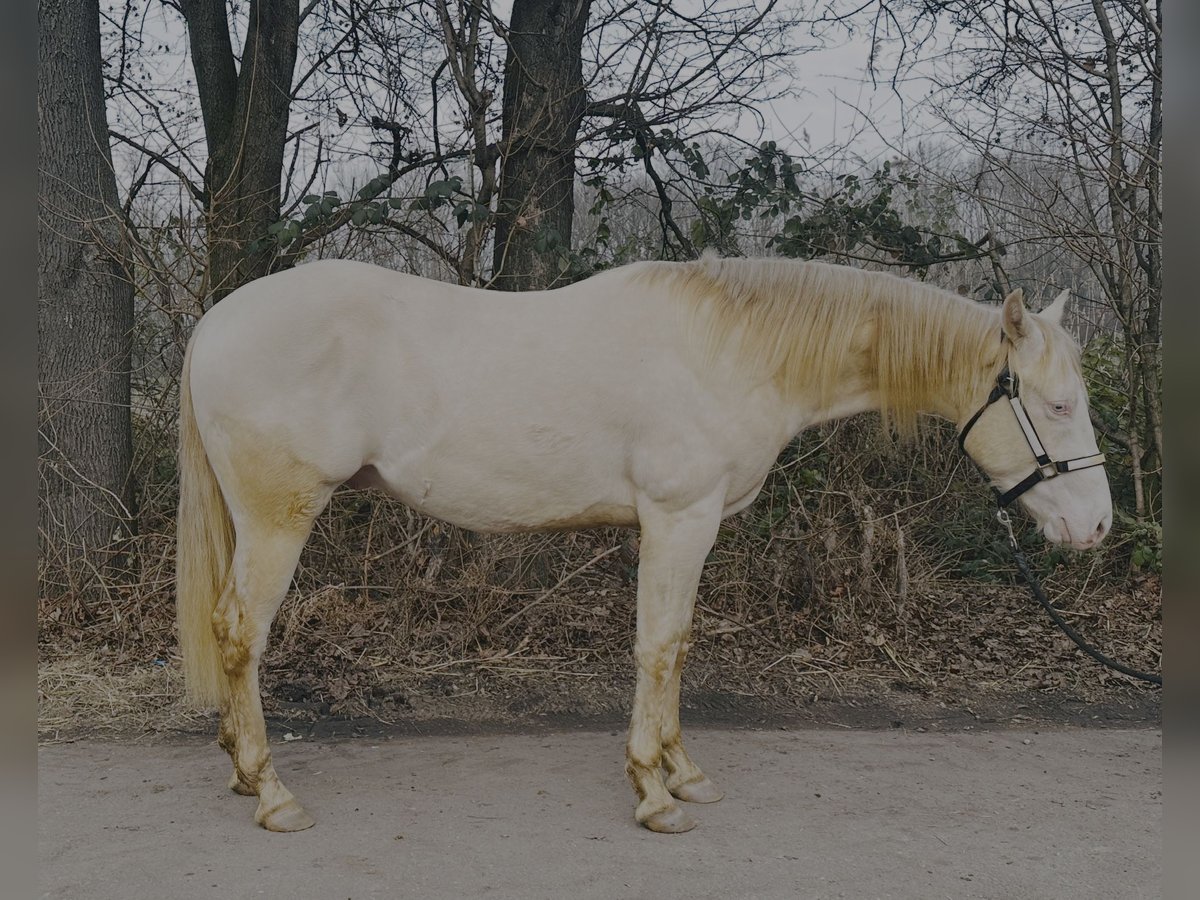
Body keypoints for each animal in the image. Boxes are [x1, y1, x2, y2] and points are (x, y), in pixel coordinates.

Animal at [174, 250, 1108, 835]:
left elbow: (680, 645)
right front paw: (656, 794)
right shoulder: (678, 518)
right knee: (240, 633)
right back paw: (270, 791)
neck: (733, 350)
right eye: (1059, 404)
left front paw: (682, 770)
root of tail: (213, 325)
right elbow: (658, 647)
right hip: (279, 519)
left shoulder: (691, 526)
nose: (1096, 527)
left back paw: (241, 771)